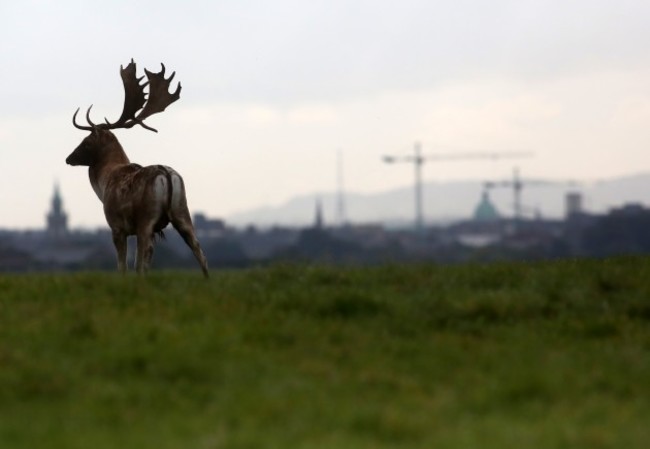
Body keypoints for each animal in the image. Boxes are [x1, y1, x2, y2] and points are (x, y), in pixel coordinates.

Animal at [66, 59, 209, 276]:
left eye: (87, 141)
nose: (69, 158)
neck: (104, 183)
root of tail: (167, 175)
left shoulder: (116, 225)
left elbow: (123, 265)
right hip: (182, 211)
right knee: (198, 248)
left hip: (146, 218)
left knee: (145, 254)